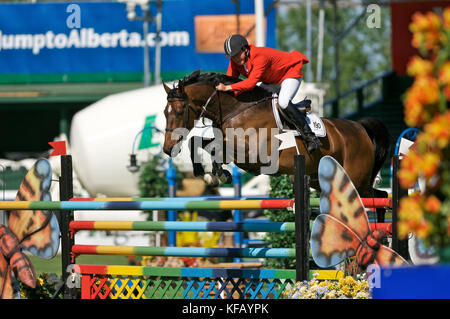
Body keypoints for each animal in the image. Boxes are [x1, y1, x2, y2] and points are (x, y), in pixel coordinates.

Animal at [162, 71, 390, 199]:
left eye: (180, 112)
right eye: (165, 112)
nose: (167, 148)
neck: (236, 109)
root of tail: (360, 128)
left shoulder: (251, 154)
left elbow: (215, 147)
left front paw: (218, 172)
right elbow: (198, 141)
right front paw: (207, 173)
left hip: (356, 180)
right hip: (321, 180)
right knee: (379, 196)